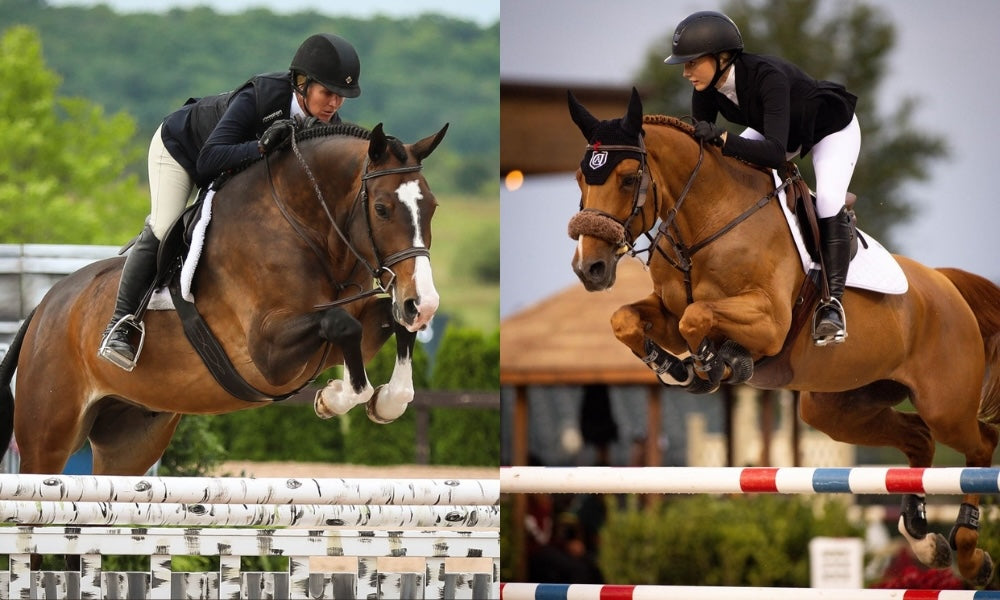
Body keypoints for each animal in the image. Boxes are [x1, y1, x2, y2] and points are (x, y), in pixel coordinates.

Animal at [0, 119, 448, 478]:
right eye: (382, 208)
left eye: (432, 207)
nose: (424, 302)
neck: (306, 228)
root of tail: (42, 308)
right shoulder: (269, 353)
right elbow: (342, 325)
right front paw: (332, 398)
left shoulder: (350, 331)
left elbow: (392, 324)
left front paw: (386, 402)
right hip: (47, 436)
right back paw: (119, 341)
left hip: (130, 439)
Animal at [568, 89, 1000, 584]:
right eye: (581, 177)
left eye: (627, 178)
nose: (590, 268)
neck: (708, 221)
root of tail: (947, 284)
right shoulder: (666, 312)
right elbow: (629, 320)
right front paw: (677, 368)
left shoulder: (770, 322)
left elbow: (697, 317)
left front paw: (716, 364)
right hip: (837, 408)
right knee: (918, 438)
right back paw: (925, 541)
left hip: (945, 404)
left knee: (980, 442)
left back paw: (970, 554)